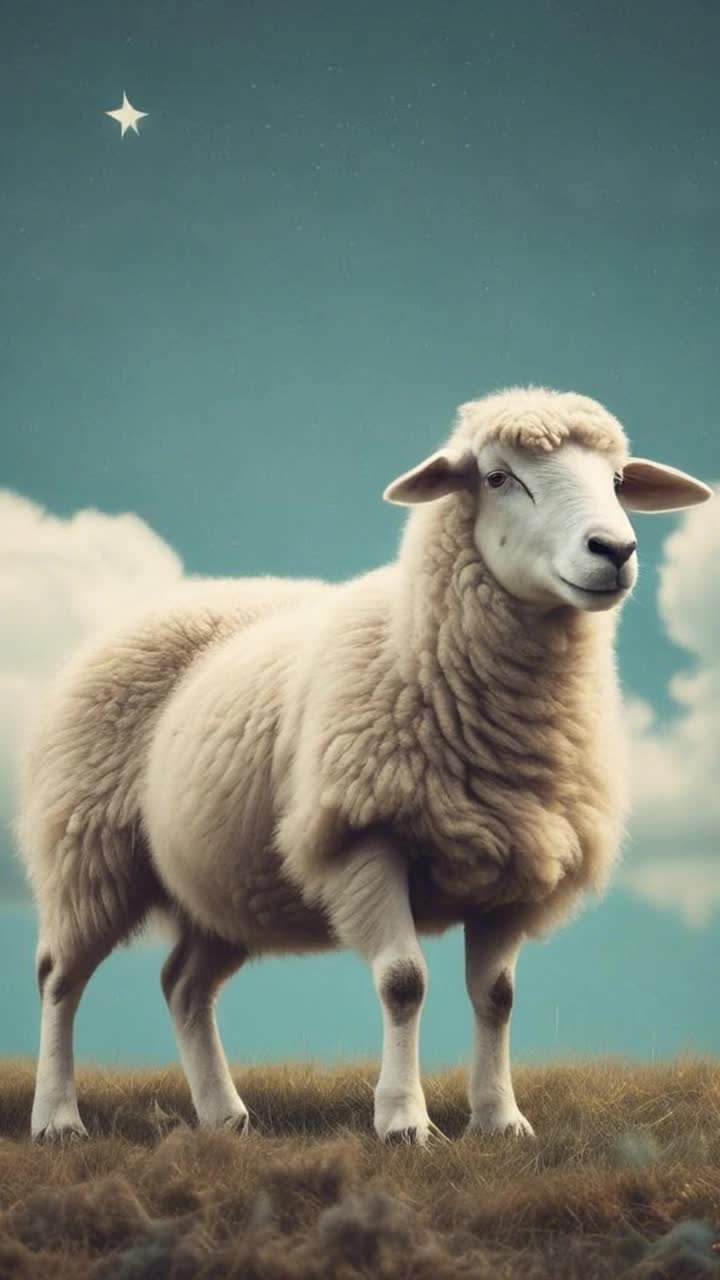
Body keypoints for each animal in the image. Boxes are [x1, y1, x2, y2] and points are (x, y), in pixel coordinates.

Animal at [17, 386, 712, 1146]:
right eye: (498, 477)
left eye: (617, 481)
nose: (614, 550)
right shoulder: (365, 837)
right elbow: (404, 982)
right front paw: (404, 1121)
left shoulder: (513, 861)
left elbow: (497, 997)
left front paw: (500, 1120)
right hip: (88, 847)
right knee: (59, 978)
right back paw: (57, 1118)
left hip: (225, 879)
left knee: (184, 985)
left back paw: (224, 1116)